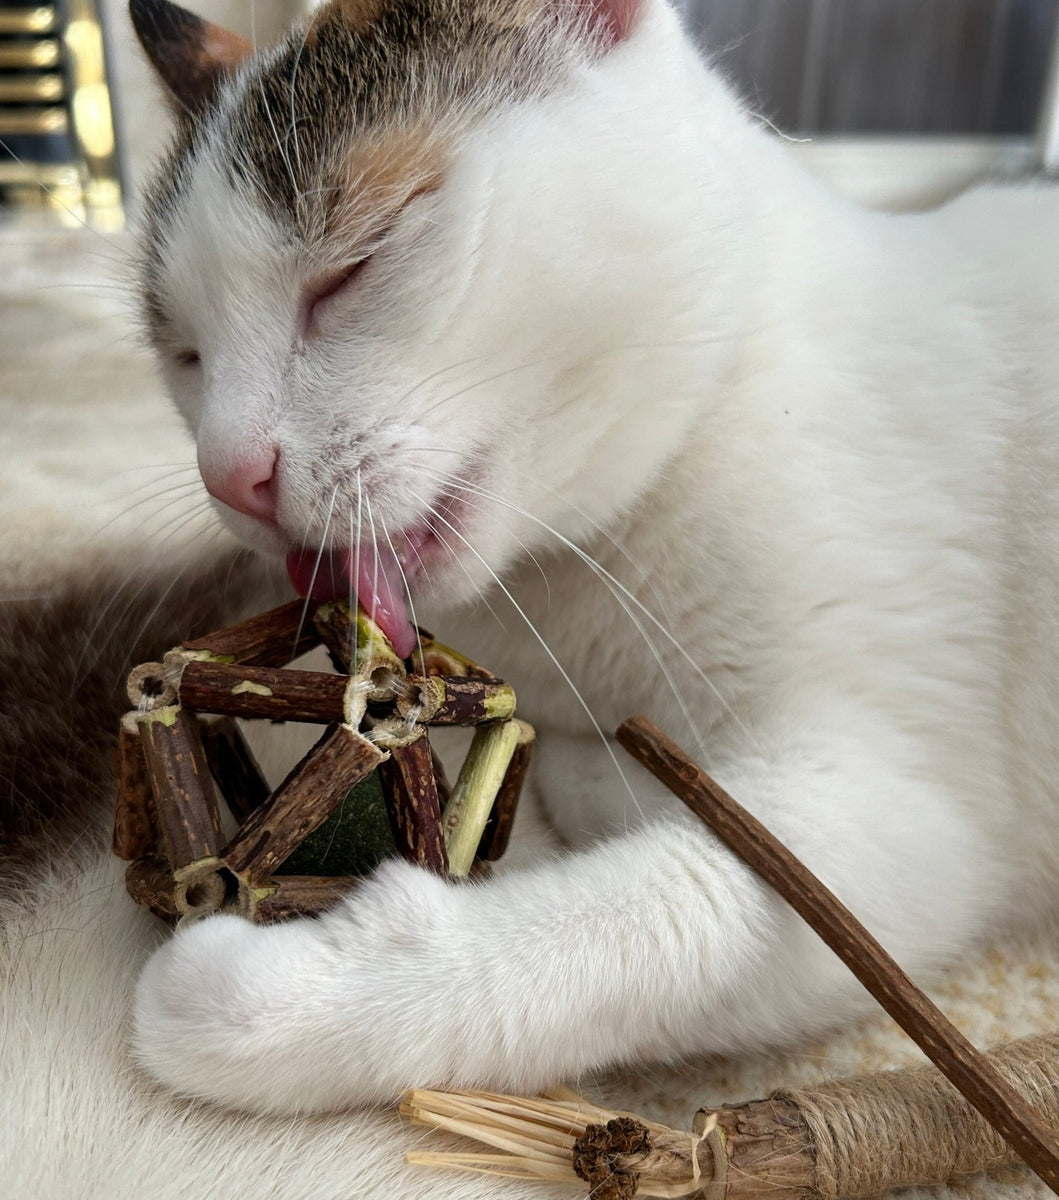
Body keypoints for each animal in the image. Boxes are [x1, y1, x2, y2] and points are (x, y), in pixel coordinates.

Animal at [128, 0, 1059, 1114]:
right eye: (183, 352)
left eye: (356, 264)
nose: (230, 473)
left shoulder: (897, 812)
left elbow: (670, 911)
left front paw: (278, 1002)